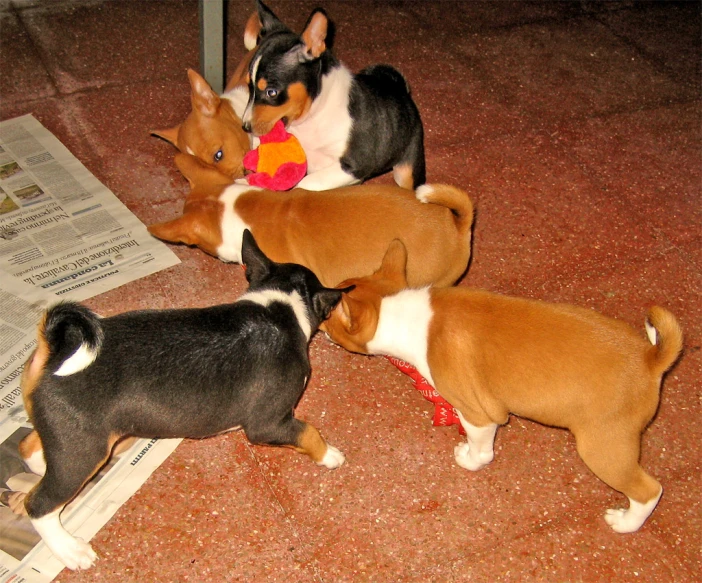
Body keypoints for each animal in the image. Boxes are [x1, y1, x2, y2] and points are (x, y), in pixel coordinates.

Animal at [20, 230, 350, 572]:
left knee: (28, 447)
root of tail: (53, 351)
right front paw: (330, 455)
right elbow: (309, 432)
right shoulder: (269, 423)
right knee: (38, 504)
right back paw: (70, 549)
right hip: (85, 450)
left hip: (64, 436)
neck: (280, 307)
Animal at [326, 241, 688, 532]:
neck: (405, 315)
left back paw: (626, 523)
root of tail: (649, 359)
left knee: (649, 490)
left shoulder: (480, 414)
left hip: (602, 447)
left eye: (328, 316)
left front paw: (469, 459)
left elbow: (481, 450)